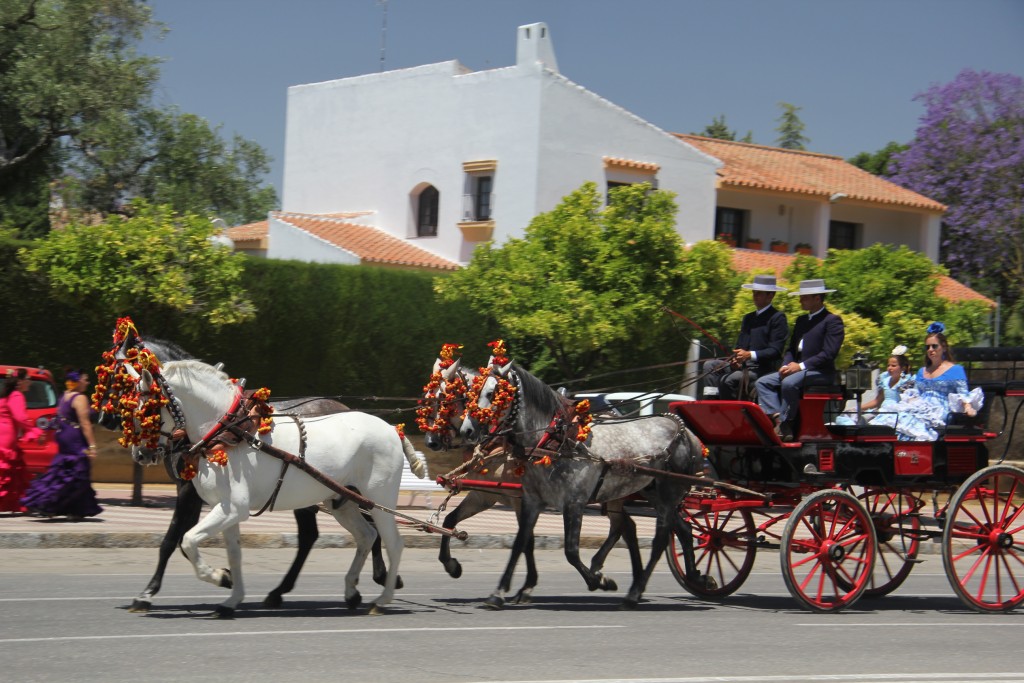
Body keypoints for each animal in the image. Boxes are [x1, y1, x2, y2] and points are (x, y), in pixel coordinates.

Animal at [138, 360, 413, 618]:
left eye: (149, 408)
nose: (142, 453)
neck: (229, 432)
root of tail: (391, 429)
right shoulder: (225, 509)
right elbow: (233, 554)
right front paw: (231, 598)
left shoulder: (231, 508)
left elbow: (187, 540)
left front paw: (216, 576)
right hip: (342, 501)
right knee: (366, 535)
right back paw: (351, 590)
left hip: (378, 499)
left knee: (393, 543)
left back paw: (382, 598)